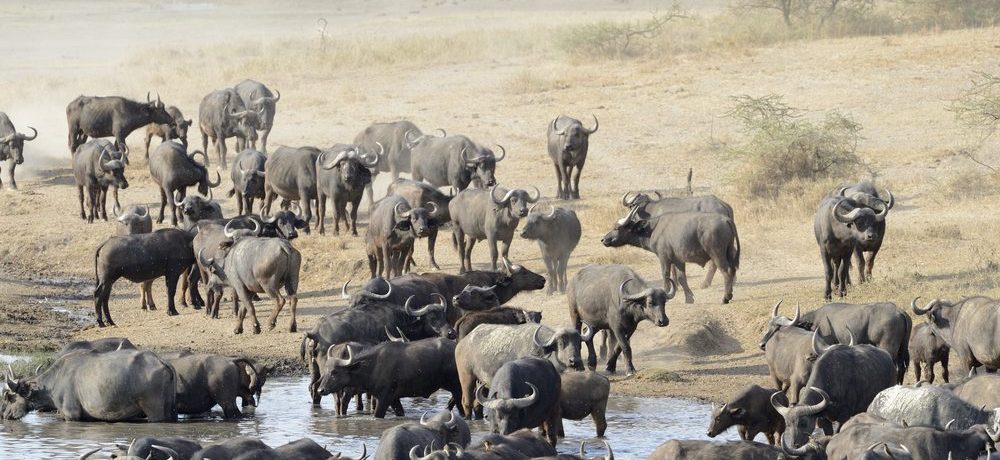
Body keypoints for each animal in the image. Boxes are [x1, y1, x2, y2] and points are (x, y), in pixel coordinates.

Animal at [0, 350, 176, 422]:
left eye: (8, 398)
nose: (5, 415)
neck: (54, 381)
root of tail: (161, 362)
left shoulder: (71, 415)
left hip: (155, 411)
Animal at [454, 324, 584, 416]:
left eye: (579, 344)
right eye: (561, 343)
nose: (575, 361)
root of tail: (462, 342)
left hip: (481, 382)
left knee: (478, 404)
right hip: (466, 377)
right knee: (466, 402)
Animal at [596, 207, 740, 304]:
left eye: (616, 228)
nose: (603, 239)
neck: (653, 229)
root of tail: (726, 219)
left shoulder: (664, 257)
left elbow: (665, 275)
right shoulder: (678, 260)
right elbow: (682, 278)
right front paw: (689, 298)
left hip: (717, 254)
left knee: (726, 272)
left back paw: (725, 297)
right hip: (729, 252)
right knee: (732, 270)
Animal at [772, 332, 900, 448]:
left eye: (803, 423)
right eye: (788, 424)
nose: (794, 445)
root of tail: (888, 358)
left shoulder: (844, 416)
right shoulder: (824, 419)